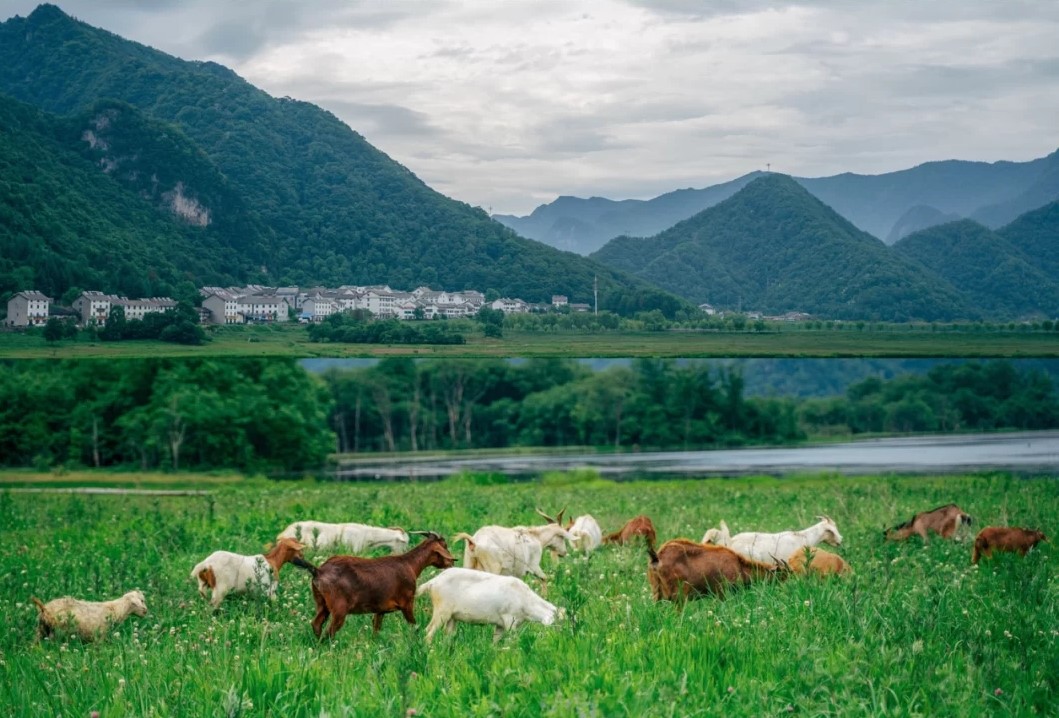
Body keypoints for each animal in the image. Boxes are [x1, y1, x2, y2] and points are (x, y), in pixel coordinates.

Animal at [292, 529, 453, 639]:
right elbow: (414, 626)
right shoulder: (407, 603)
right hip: (339, 609)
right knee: (329, 632)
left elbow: (376, 630)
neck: (409, 564)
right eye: (444, 545)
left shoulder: (380, 610)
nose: (451, 562)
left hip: (322, 604)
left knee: (316, 624)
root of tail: (319, 571)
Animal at [413, 571, 563, 643]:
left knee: (447, 635)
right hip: (441, 611)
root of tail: (433, 582)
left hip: (451, 618)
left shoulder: (500, 625)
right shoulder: (509, 619)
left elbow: (495, 642)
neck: (525, 599)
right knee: (428, 632)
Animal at [643, 542, 787, 605]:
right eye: (782, 575)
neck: (739, 565)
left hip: (657, 594)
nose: (787, 590)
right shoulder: (722, 592)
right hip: (678, 597)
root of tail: (657, 557)